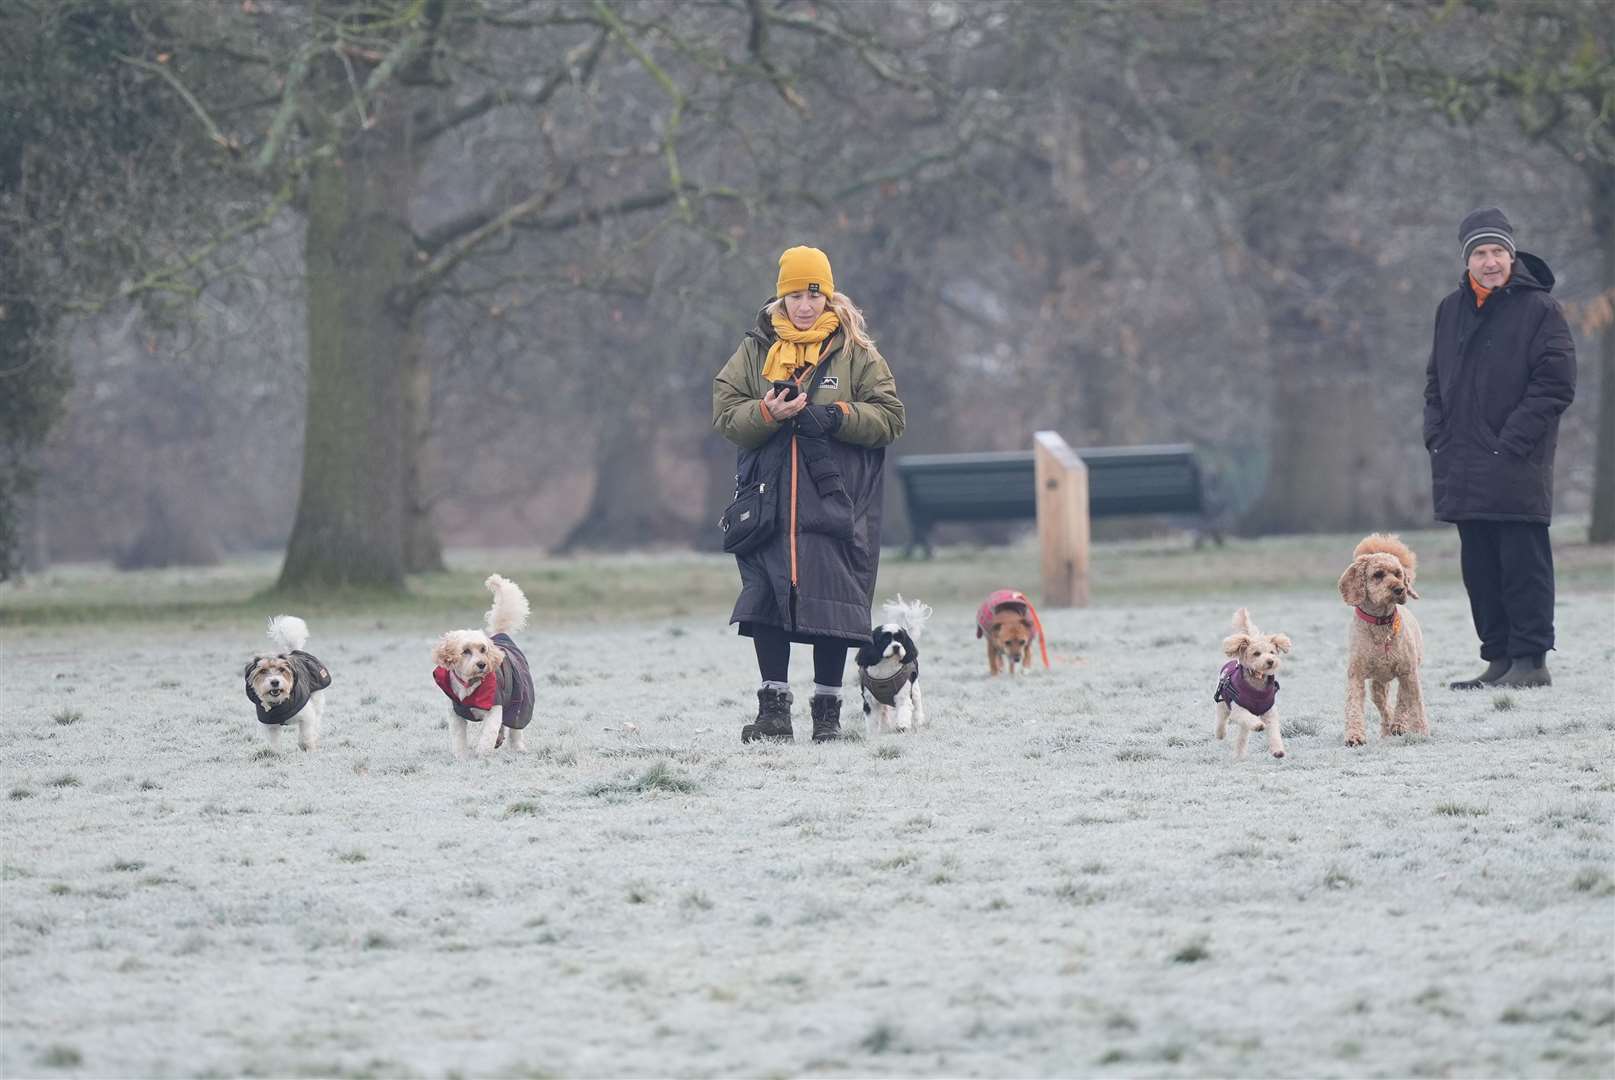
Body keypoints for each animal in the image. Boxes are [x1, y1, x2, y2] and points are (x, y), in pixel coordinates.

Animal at [859, 594, 936, 736]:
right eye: (885, 640)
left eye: (901, 640)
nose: (896, 646)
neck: (886, 666)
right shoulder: (870, 700)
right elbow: (872, 720)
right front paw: (873, 734)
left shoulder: (903, 694)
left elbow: (904, 710)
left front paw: (902, 726)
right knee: (884, 712)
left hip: (915, 690)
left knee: (917, 709)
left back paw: (917, 724)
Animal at [1337, 529, 1427, 742]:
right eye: (1378, 574)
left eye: (1398, 574)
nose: (1400, 589)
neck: (1381, 623)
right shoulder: (1356, 674)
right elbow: (1353, 705)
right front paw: (1354, 736)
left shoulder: (1408, 672)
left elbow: (1414, 703)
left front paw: (1420, 731)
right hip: (1378, 683)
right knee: (1384, 706)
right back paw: (1389, 728)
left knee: (1401, 701)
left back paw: (1399, 725)